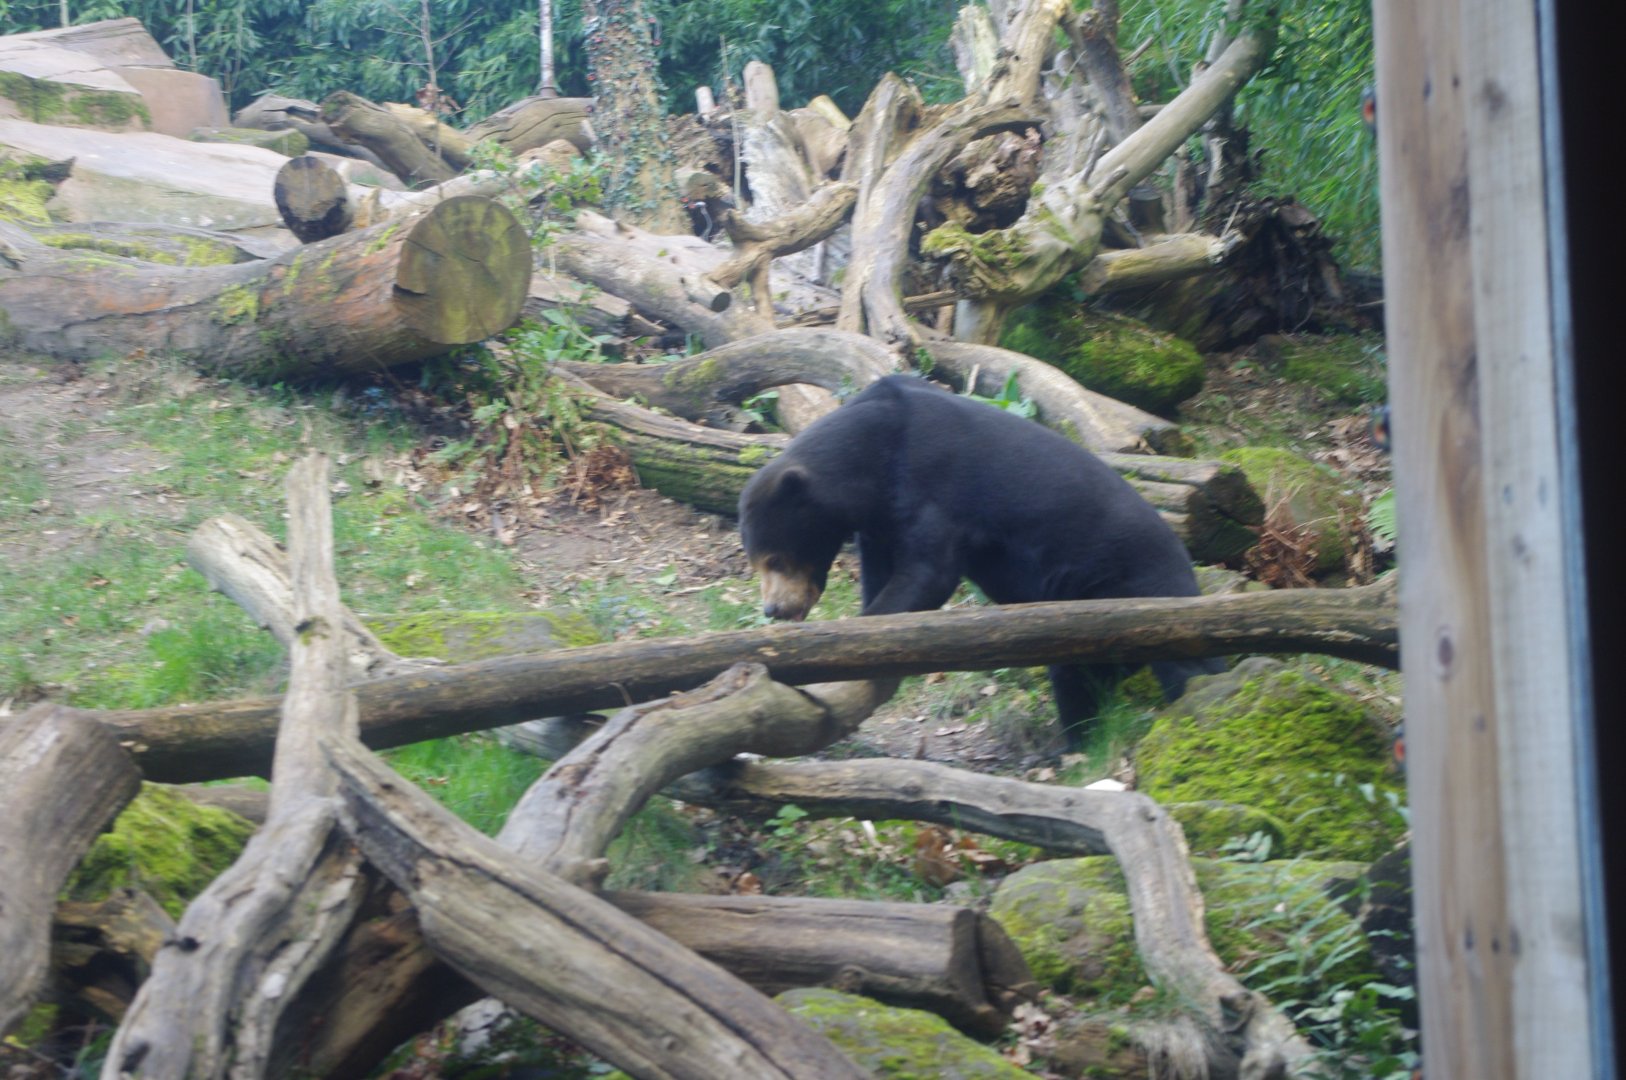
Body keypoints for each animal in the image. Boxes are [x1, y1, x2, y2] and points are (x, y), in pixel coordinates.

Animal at [737, 374, 1223, 746]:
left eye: (776, 559)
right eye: (758, 562)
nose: (775, 609)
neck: (874, 461)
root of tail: (1185, 568)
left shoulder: (932, 487)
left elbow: (930, 573)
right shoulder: (877, 524)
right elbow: (883, 573)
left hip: (1127, 587)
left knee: (1176, 666)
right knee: (1081, 678)